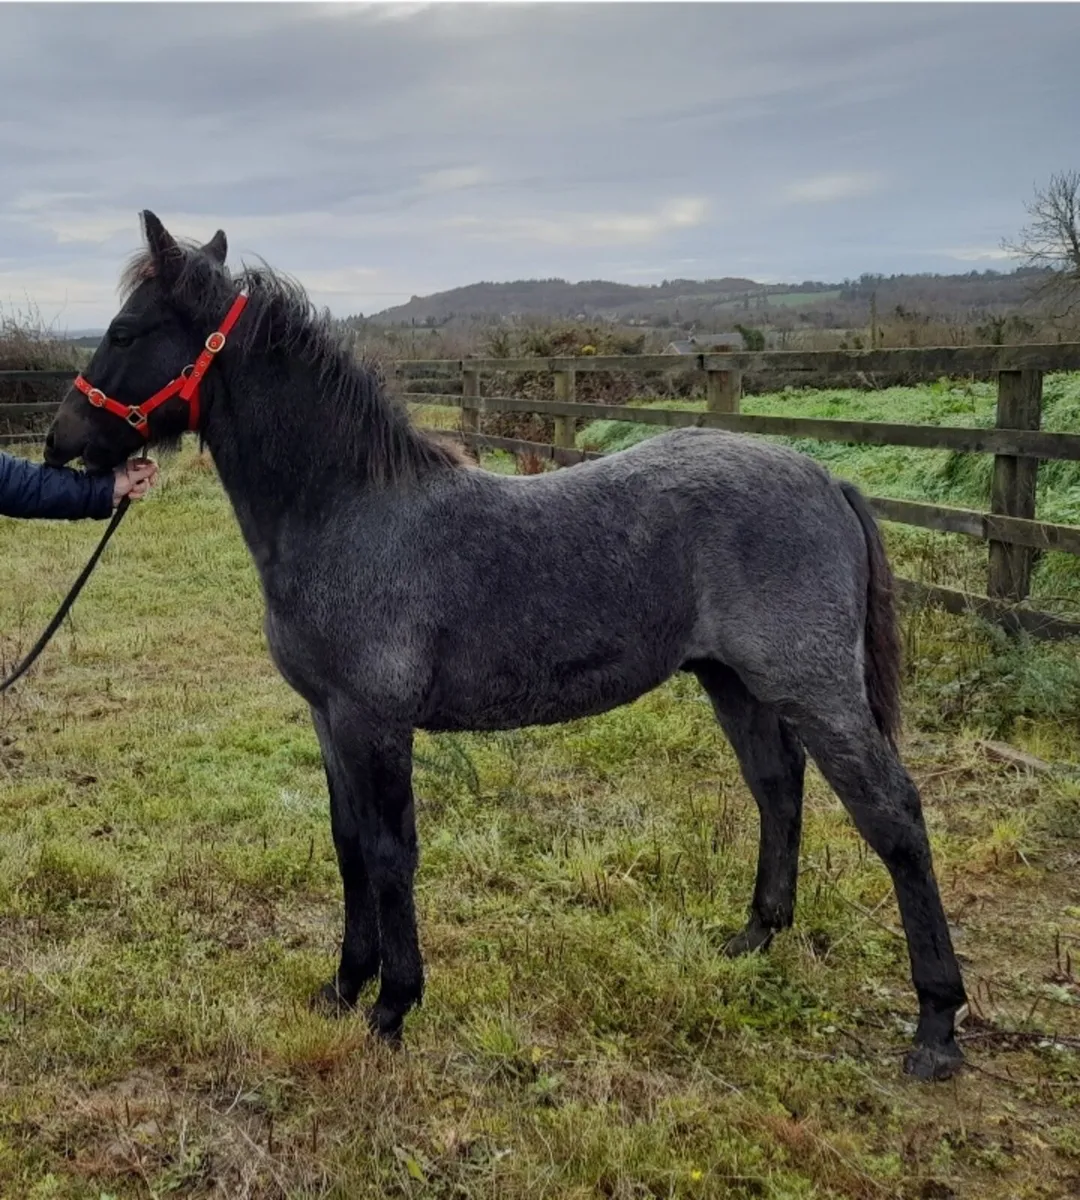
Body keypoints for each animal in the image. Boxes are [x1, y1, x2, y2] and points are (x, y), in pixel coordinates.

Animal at [44, 211, 967, 1080]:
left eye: (125, 330)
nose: (62, 442)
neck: (349, 512)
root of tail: (827, 479)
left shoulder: (375, 722)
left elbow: (390, 852)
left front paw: (393, 1006)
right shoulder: (328, 719)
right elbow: (348, 846)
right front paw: (342, 986)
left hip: (814, 686)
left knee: (893, 815)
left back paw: (937, 1025)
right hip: (733, 681)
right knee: (777, 788)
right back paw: (755, 937)